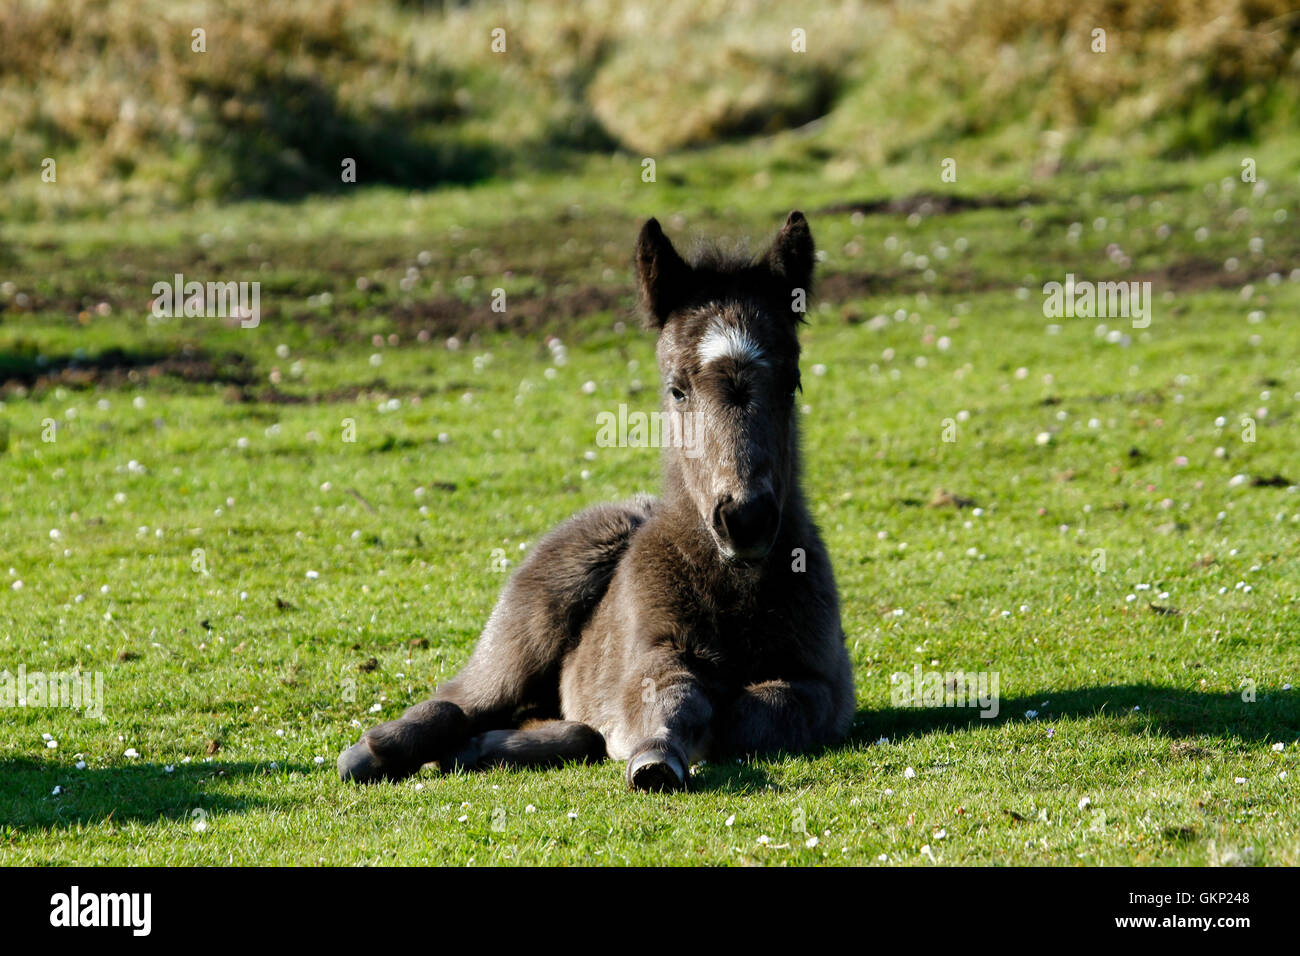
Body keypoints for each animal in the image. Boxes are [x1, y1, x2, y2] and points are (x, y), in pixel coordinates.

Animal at [338, 211, 854, 791]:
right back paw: (375, 751)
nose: (745, 518)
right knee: (463, 698)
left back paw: (476, 749)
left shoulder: (820, 681)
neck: (734, 588)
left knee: (560, 727)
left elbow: (757, 712)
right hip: (528, 628)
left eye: (792, 383)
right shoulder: (652, 652)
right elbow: (673, 695)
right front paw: (654, 756)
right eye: (677, 389)